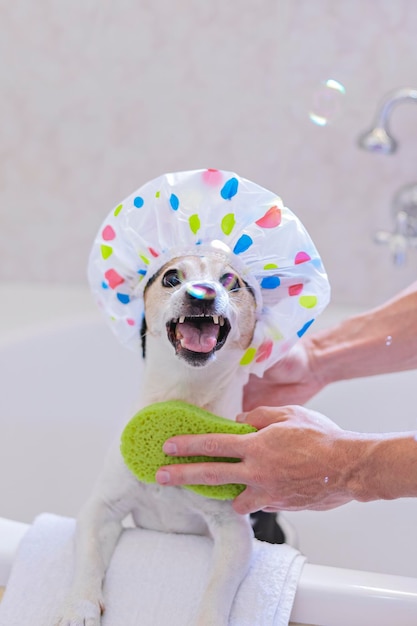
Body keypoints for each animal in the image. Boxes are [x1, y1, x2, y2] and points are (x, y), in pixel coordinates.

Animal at [56, 252, 260, 624]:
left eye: (231, 281)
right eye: (171, 278)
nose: (203, 294)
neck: (183, 393)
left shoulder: (233, 530)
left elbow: (217, 587)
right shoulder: (102, 508)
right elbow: (89, 559)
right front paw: (79, 607)